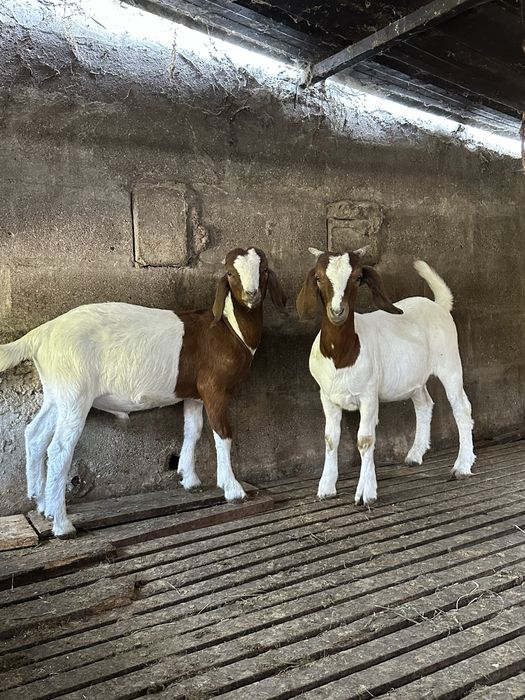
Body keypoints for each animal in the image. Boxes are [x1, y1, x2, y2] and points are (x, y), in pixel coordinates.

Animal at [0, 247, 286, 538]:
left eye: (264, 270)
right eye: (230, 273)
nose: (252, 295)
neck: (231, 329)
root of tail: (41, 334)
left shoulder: (194, 394)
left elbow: (192, 431)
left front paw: (189, 479)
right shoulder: (215, 388)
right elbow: (223, 434)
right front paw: (233, 489)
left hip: (57, 392)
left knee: (35, 435)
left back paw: (42, 504)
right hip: (75, 392)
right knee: (59, 449)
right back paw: (62, 524)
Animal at [297, 247, 475, 506]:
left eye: (357, 278)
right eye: (318, 278)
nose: (337, 312)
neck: (342, 354)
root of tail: (438, 305)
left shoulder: (369, 397)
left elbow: (365, 440)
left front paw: (366, 493)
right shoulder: (327, 397)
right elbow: (330, 438)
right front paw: (326, 487)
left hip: (450, 363)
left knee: (461, 408)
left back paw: (462, 466)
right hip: (414, 378)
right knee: (424, 404)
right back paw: (415, 455)